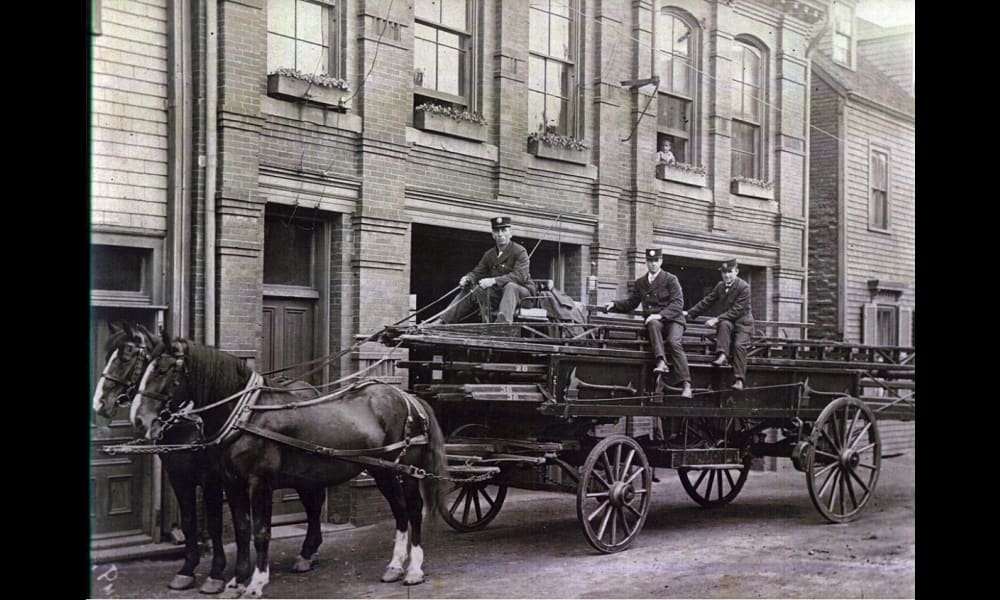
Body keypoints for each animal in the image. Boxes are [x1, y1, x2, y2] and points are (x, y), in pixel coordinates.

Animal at [93, 322, 228, 592]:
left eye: (125, 356)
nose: (99, 403)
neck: (189, 423)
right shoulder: (179, 478)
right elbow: (189, 521)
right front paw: (187, 570)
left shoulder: (212, 481)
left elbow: (216, 523)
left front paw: (217, 573)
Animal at [132, 336, 446, 596]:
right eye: (144, 368)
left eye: (163, 371)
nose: (138, 419)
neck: (246, 416)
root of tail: (407, 397)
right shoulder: (231, 483)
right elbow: (242, 529)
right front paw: (236, 581)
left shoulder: (259, 482)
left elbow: (261, 531)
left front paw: (256, 582)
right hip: (383, 472)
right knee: (400, 513)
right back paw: (394, 567)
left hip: (403, 472)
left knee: (413, 511)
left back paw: (414, 570)